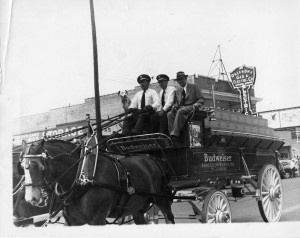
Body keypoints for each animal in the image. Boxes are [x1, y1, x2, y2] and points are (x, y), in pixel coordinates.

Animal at [21, 139, 175, 225]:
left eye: (38, 166)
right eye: (22, 166)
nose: (30, 198)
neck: (81, 178)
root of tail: (152, 158)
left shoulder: (98, 220)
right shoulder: (72, 222)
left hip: (161, 200)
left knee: (169, 218)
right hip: (137, 208)